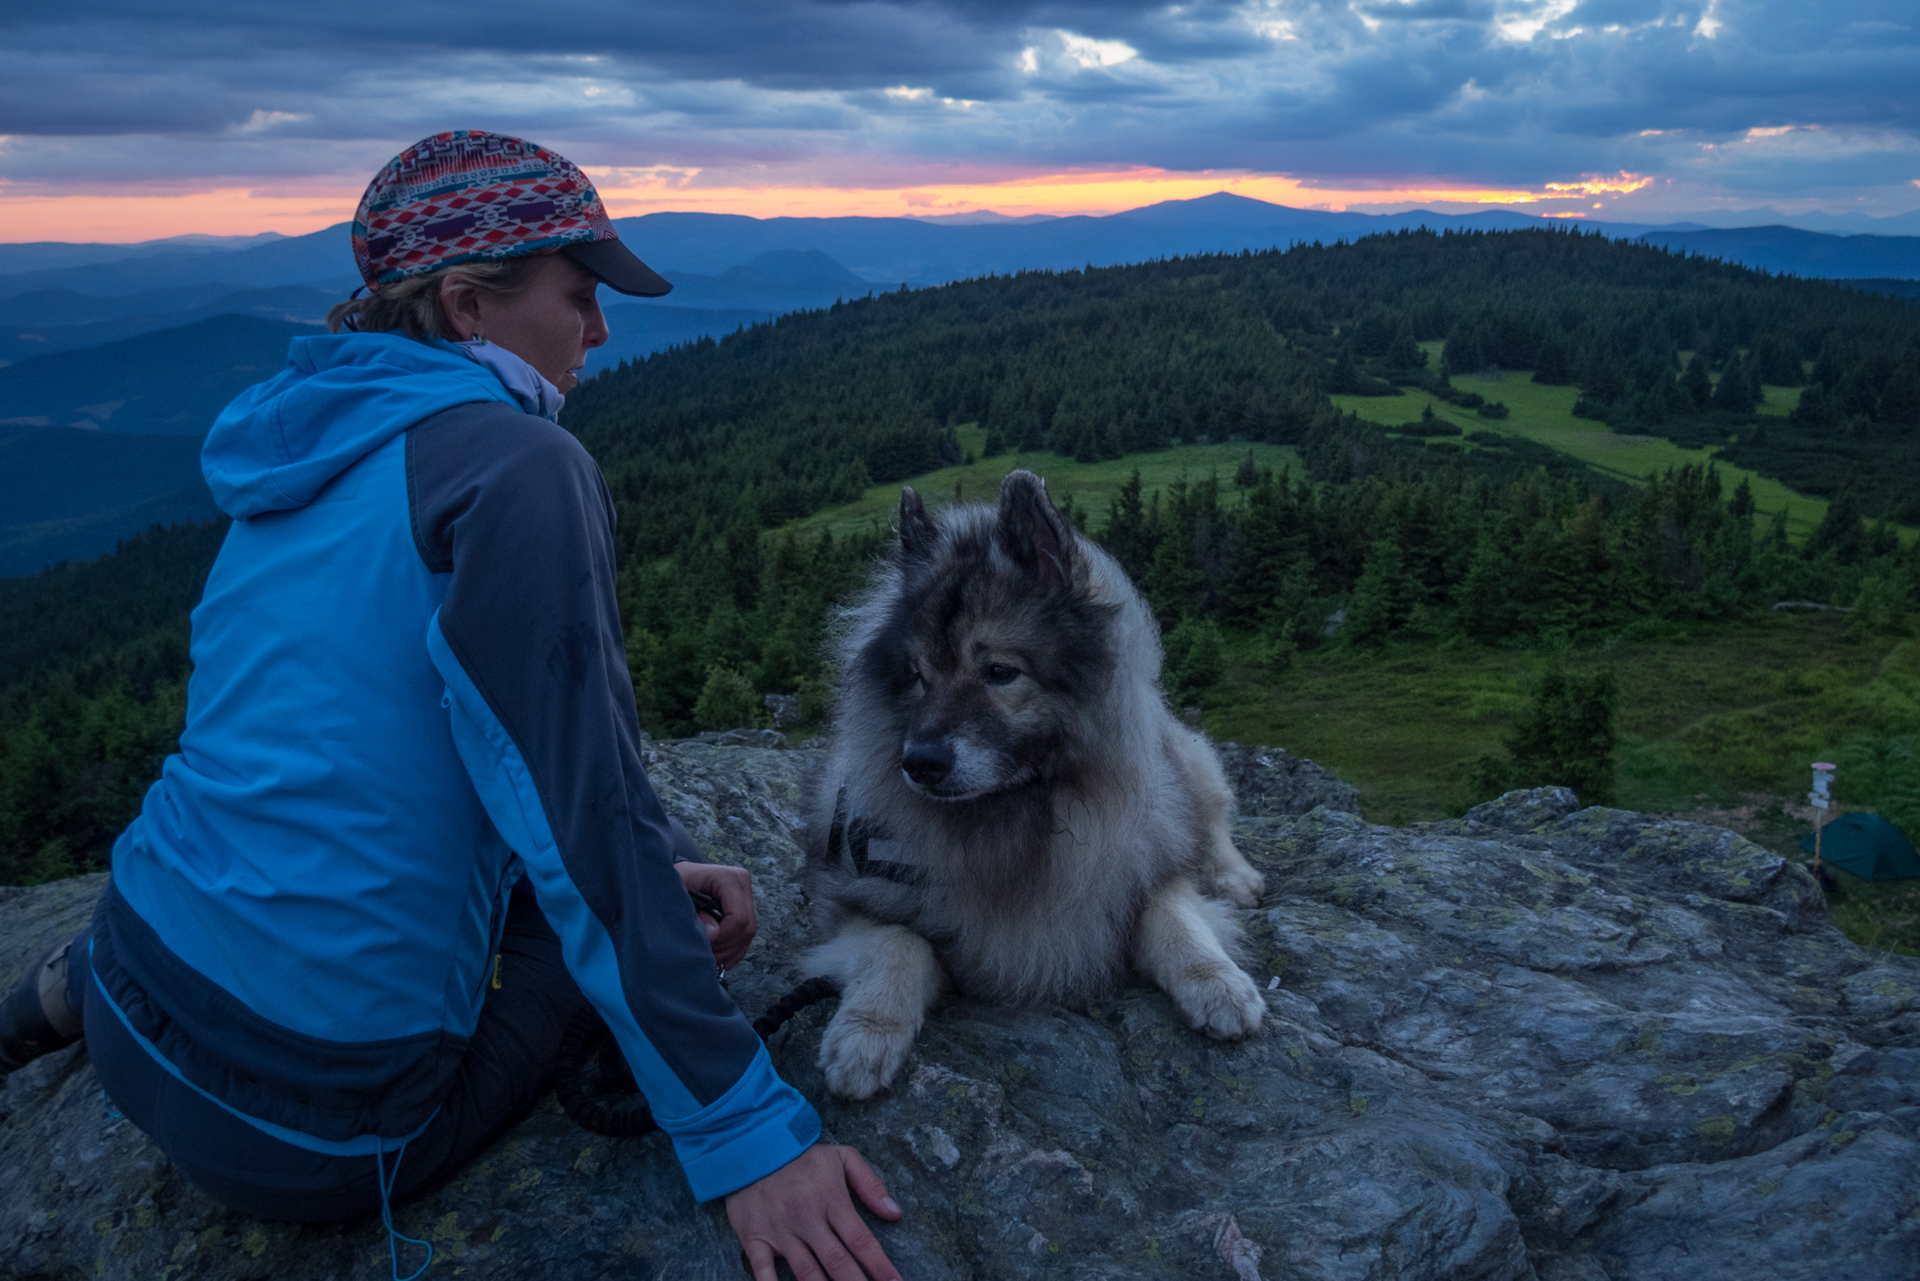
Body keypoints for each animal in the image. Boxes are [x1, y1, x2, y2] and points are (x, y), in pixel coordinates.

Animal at [798, 470, 1267, 1106]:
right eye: (918, 677)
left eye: (999, 672)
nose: (918, 763)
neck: (1022, 813)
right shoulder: (853, 897)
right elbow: (899, 943)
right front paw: (866, 1034)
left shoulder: (1144, 867)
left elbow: (1174, 915)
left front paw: (1219, 985)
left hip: (1186, 761)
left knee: (1212, 817)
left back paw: (1234, 877)